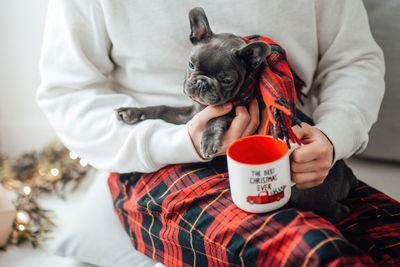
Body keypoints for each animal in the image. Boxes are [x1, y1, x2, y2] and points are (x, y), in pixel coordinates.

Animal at [117, 7, 358, 223]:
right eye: (191, 65)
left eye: (227, 80)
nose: (202, 83)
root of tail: (348, 175)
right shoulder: (190, 114)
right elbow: (162, 108)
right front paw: (132, 112)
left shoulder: (235, 109)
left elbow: (218, 117)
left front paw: (209, 139)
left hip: (309, 193)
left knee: (337, 210)